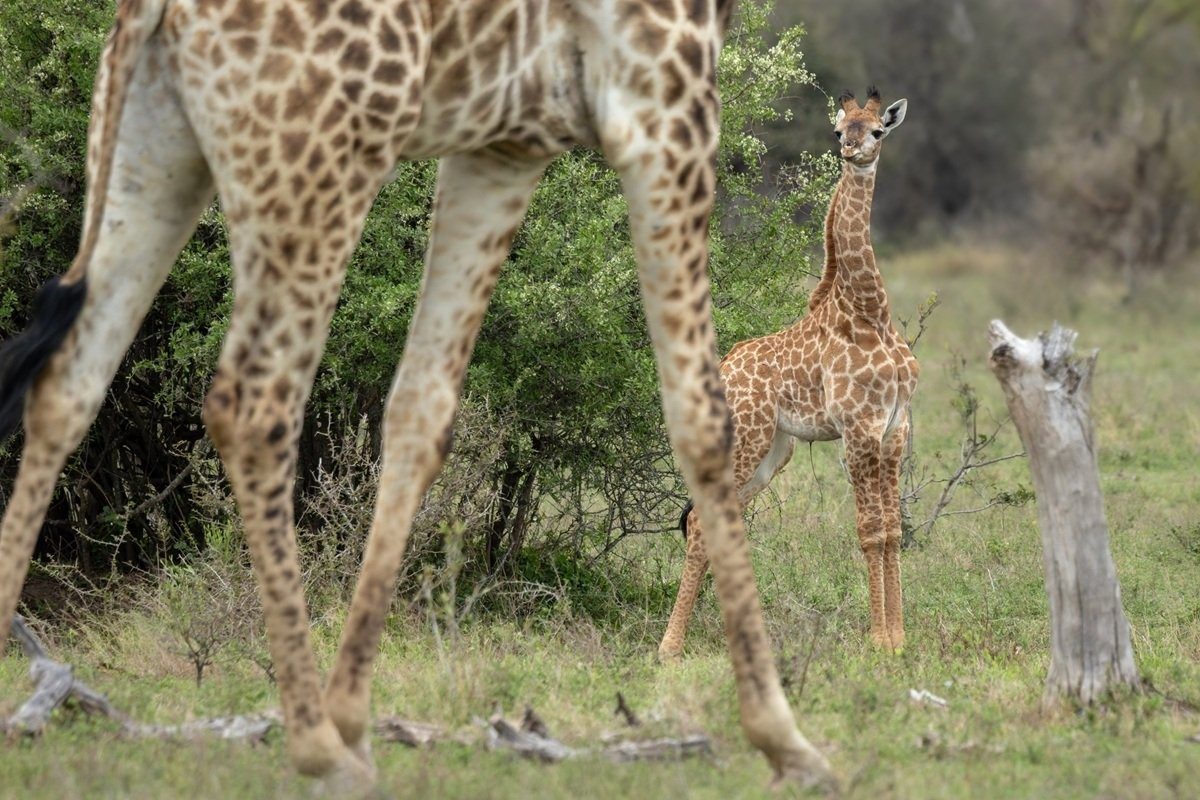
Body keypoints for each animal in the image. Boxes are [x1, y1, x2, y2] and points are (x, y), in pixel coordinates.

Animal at [0, 0, 834, 790]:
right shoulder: (664, 96)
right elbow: (701, 420)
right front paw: (783, 737)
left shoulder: (506, 145)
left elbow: (420, 410)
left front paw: (356, 715)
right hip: (319, 154)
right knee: (254, 404)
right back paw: (314, 746)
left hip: (155, 141)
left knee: (69, 383)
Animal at [657, 87, 917, 660]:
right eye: (839, 129)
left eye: (878, 130)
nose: (852, 149)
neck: (869, 310)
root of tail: (723, 370)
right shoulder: (858, 427)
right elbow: (870, 530)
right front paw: (880, 642)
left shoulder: (895, 427)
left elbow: (892, 529)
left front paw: (899, 639)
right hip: (748, 438)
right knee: (701, 525)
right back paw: (670, 648)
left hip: (775, 452)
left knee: (719, 524)